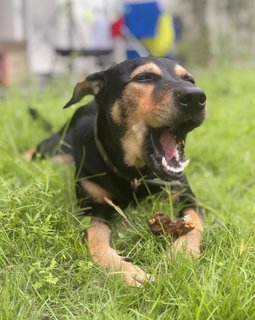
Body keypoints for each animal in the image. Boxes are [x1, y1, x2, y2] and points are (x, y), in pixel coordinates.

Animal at [26, 56, 206, 286]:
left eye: (190, 79)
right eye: (144, 77)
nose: (196, 97)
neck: (134, 174)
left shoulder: (187, 197)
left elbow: (195, 224)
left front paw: (182, 254)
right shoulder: (93, 208)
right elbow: (96, 237)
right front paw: (125, 271)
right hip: (53, 149)